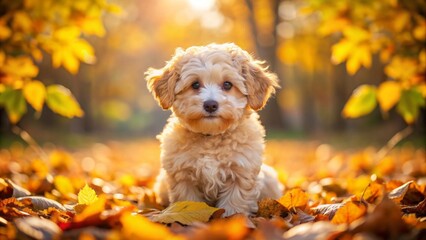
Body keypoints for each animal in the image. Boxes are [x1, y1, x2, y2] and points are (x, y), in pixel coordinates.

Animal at [146, 42, 282, 216]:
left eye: (227, 84)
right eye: (195, 84)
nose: (210, 104)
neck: (211, 136)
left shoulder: (241, 171)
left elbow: (235, 202)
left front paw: (232, 219)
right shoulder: (182, 174)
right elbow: (188, 200)